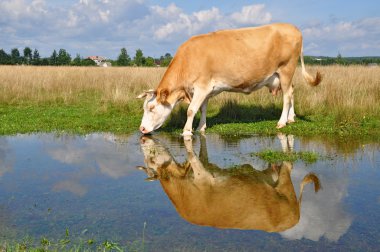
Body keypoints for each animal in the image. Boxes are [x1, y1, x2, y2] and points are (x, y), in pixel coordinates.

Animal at [137, 23, 320, 136]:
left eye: (151, 108)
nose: (142, 128)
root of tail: (292, 27)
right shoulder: (205, 90)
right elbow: (203, 108)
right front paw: (201, 127)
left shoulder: (202, 87)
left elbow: (191, 110)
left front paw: (187, 131)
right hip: (282, 75)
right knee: (292, 91)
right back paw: (291, 118)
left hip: (286, 69)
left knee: (287, 95)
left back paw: (282, 122)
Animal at [137, 135, 320, 231]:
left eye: (151, 159)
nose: (143, 136)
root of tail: (296, 217)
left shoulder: (203, 176)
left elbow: (193, 157)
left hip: (285, 184)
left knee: (288, 164)